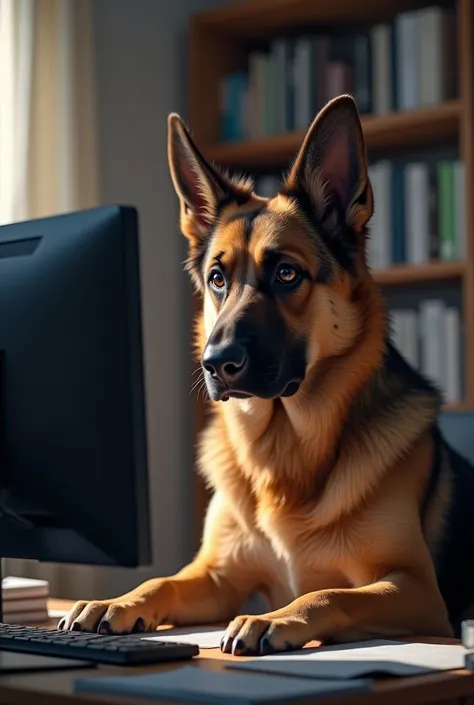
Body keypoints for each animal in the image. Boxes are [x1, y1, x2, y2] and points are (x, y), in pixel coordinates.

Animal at [61, 95, 474, 656]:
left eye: (286, 273)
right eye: (217, 278)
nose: (215, 364)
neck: (283, 451)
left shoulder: (415, 589)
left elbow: (328, 593)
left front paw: (271, 619)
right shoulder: (216, 577)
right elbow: (161, 580)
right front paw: (117, 601)